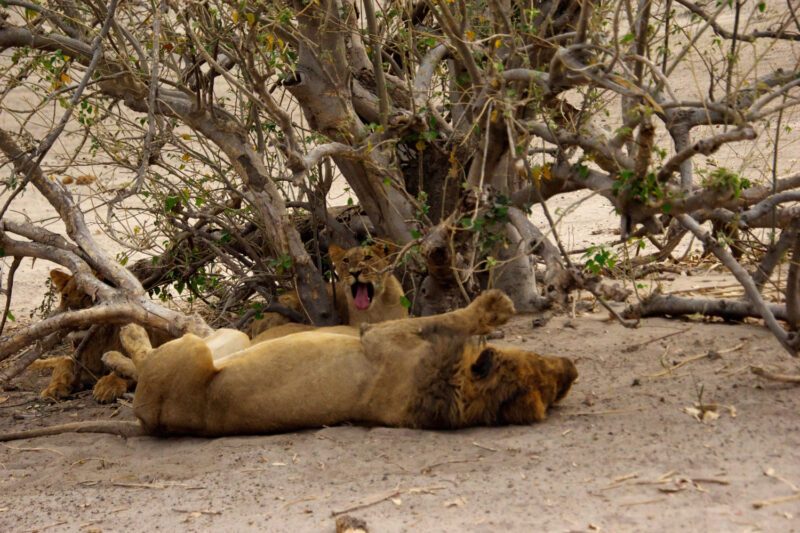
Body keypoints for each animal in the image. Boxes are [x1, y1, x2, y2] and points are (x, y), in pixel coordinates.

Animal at [28, 270, 171, 404]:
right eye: (65, 295)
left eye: (87, 295)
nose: (70, 314)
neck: (97, 340)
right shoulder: (87, 368)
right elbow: (64, 362)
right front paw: (54, 388)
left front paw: (107, 386)